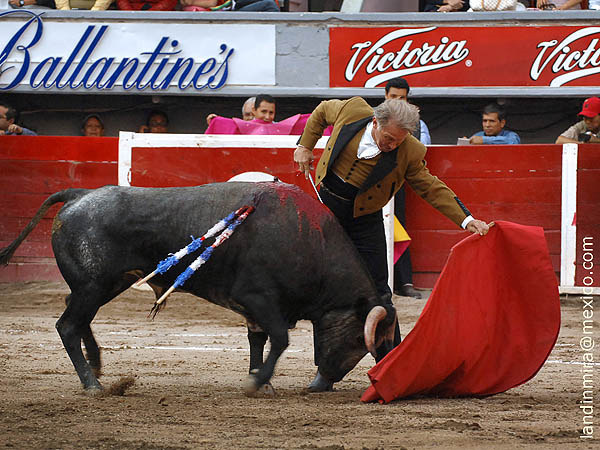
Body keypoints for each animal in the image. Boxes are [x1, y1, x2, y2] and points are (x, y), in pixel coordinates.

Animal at [2, 182, 398, 394]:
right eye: (359, 338)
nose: (325, 381)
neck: (311, 241)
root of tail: (79, 194)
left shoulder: (256, 309)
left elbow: (259, 340)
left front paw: (260, 380)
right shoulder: (258, 298)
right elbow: (280, 339)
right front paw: (257, 382)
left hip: (106, 284)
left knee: (76, 314)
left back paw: (97, 365)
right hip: (93, 286)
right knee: (67, 325)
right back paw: (92, 384)